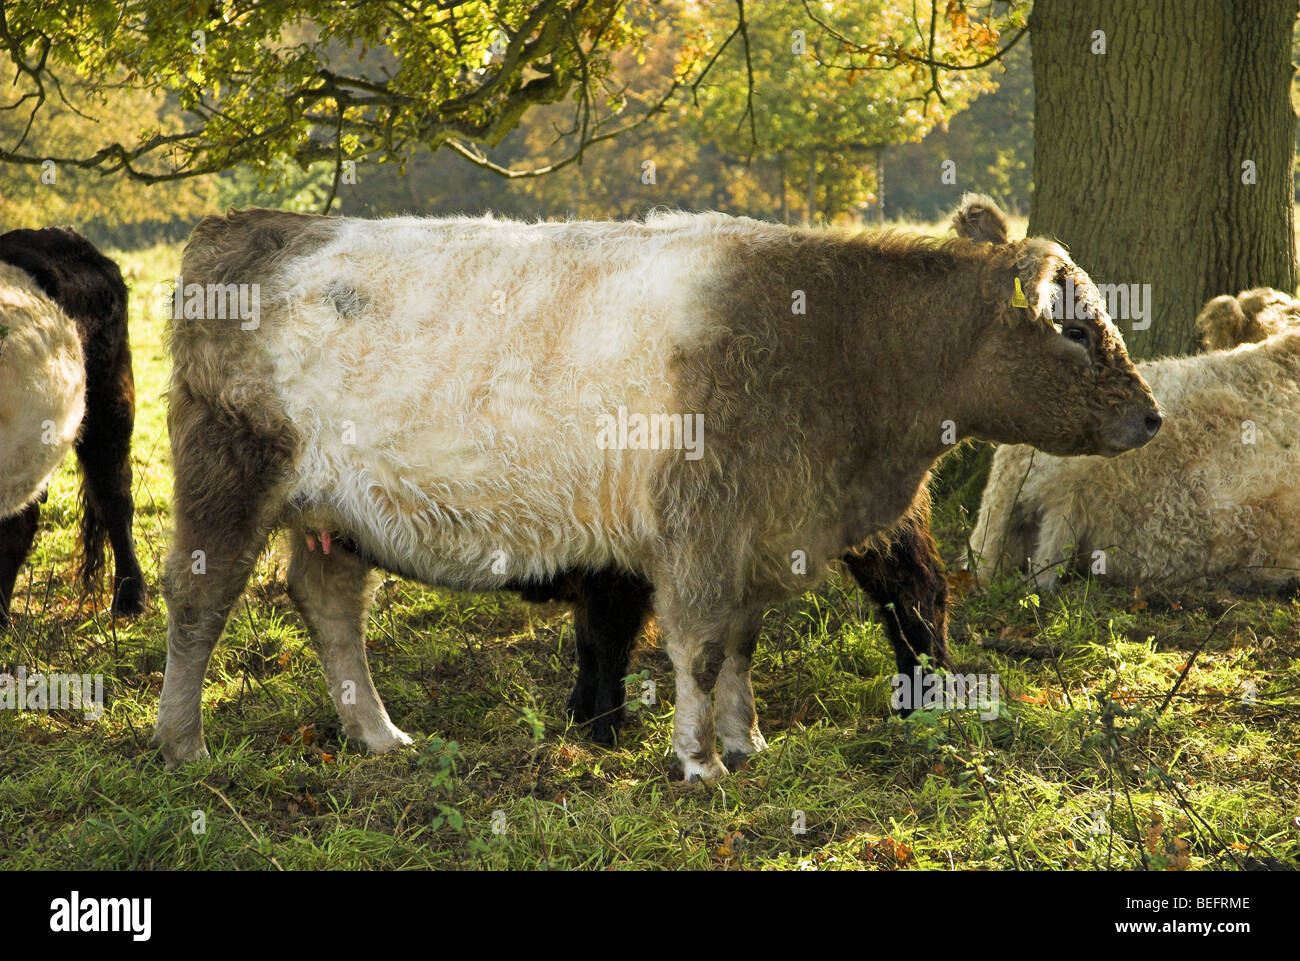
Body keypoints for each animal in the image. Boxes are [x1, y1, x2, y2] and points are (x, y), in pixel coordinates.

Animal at [152, 202, 1159, 780]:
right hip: (226, 472)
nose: (1150, 416)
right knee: (199, 604)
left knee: (329, 606)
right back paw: (183, 744)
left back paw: (376, 735)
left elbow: (742, 647)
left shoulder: (758, 533)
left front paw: (746, 743)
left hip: (335, 512)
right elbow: (700, 648)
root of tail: (249, 221)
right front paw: (698, 760)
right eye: (1075, 327)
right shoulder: (702, 529)